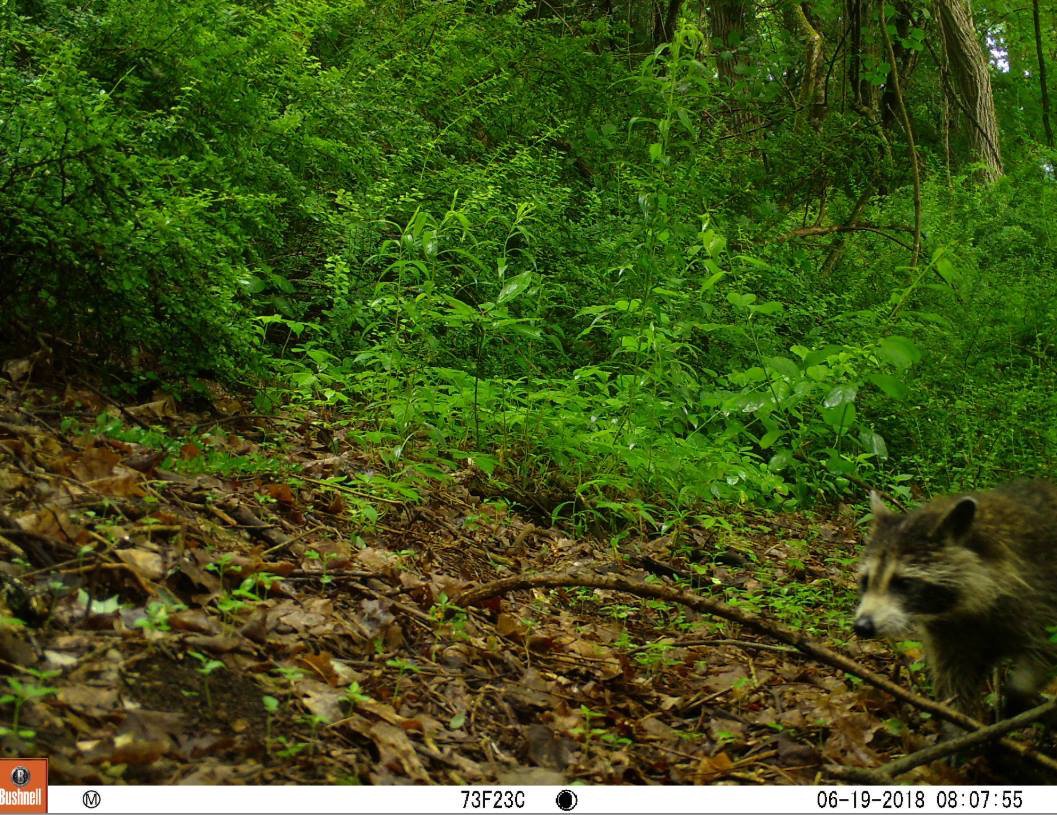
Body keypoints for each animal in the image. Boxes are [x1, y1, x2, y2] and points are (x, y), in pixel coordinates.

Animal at [854, 482, 1057, 719]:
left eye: (904, 583)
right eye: (866, 581)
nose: (862, 626)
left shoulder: (1040, 597)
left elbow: (1043, 651)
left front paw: (1018, 694)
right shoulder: (950, 633)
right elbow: (954, 684)